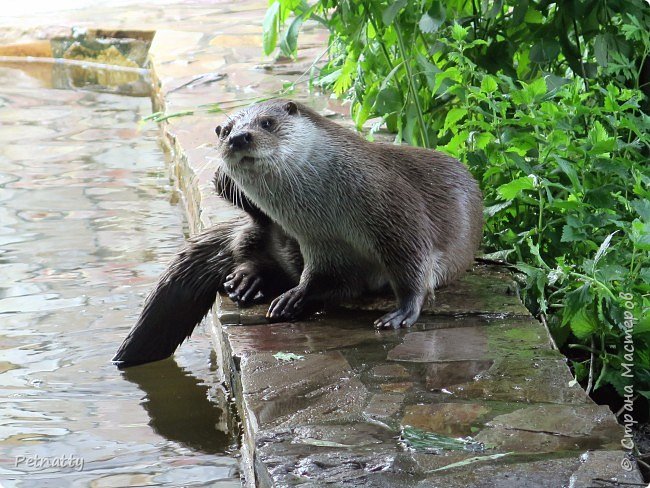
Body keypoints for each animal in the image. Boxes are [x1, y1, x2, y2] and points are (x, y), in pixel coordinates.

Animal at [112, 99, 480, 366]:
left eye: (266, 123)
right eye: (225, 130)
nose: (238, 137)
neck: (332, 207)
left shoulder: (396, 215)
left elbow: (412, 263)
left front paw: (403, 312)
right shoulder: (318, 242)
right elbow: (325, 278)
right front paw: (295, 297)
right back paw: (248, 280)